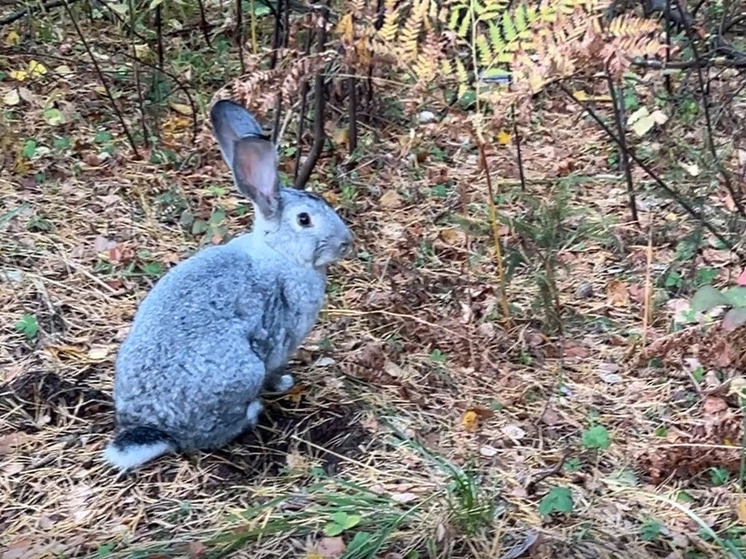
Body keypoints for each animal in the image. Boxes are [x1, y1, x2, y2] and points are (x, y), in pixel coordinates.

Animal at [102, 99, 354, 472]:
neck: (279, 253)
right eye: (304, 220)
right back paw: (252, 411)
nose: (346, 242)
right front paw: (285, 383)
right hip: (243, 371)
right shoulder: (281, 343)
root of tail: (158, 427)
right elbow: (276, 371)